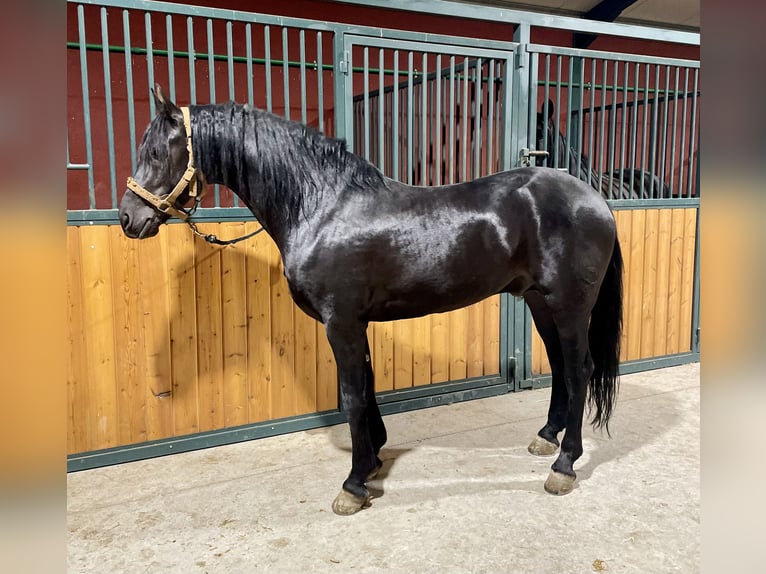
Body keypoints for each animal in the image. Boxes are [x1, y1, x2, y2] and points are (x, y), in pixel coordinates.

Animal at [120, 85, 624, 516]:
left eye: (157, 152)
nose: (128, 219)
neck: (321, 206)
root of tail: (594, 198)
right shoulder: (355, 322)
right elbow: (366, 385)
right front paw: (375, 458)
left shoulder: (340, 321)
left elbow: (352, 395)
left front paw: (354, 483)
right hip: (540, 302)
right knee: (560, 366)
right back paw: (546, 437)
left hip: (570, 305)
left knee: (580, 369)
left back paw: (564, 465)